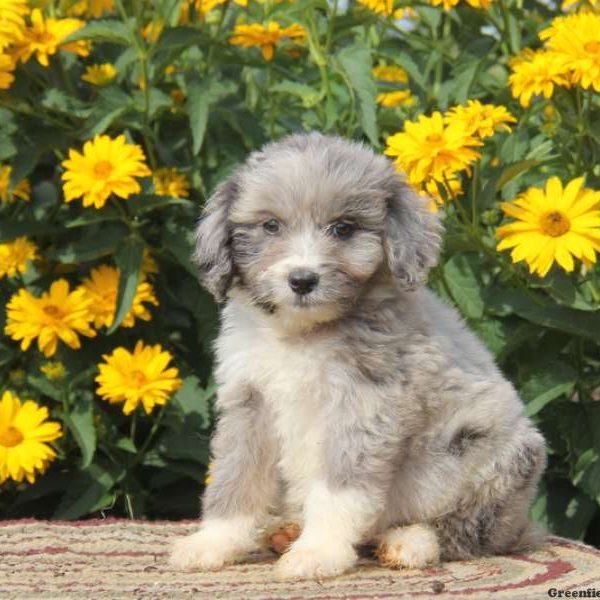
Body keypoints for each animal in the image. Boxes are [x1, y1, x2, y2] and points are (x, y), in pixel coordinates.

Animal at [169, 132, 548, 580]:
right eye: (271, 225)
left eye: (343, 228)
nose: (302, 280)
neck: (302, 335)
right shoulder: (250, 401)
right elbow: (235, 477)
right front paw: (214, 542)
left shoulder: (364, 406)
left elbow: (339, 490)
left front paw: (318, 552)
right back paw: (287, 530)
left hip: (499, 457)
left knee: (468, 532)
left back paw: (409, 542)